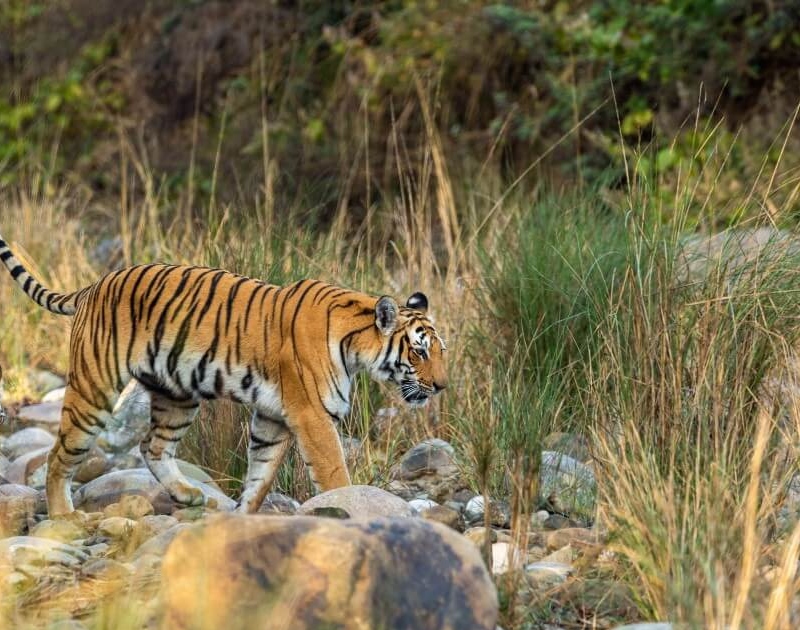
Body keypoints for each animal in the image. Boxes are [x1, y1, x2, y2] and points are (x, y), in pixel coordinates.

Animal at [0, 235, 446, 516]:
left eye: (440, 351)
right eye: (420, 351)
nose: (442, 386)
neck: (356, 345)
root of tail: (93, 285)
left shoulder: (273, 418)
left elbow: (260, 475)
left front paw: (241, 516)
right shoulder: (313, 417)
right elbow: (335, 473)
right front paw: (353, 507)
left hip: (177, 395)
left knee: (152, 446)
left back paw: (188, 496)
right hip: (95, 390)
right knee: (60, 454)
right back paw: (63, 516)